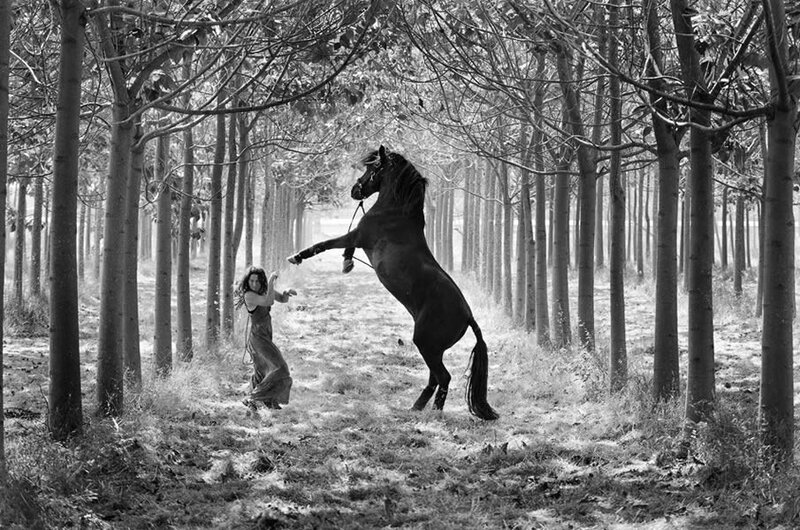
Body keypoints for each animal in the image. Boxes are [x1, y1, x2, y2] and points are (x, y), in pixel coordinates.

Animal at [288, 145, 499, 421]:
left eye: (373, 167)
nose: (354, 190)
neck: (396, 213)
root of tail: (468, 317)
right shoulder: (358, 239)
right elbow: (343, 248)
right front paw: (347, 264)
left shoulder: (358, 235)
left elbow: (326, 244)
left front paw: (298, 257)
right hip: (434, 349)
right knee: (435, 377)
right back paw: (417, 408)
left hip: (426, 343)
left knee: (443, 377)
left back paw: (433, 413)